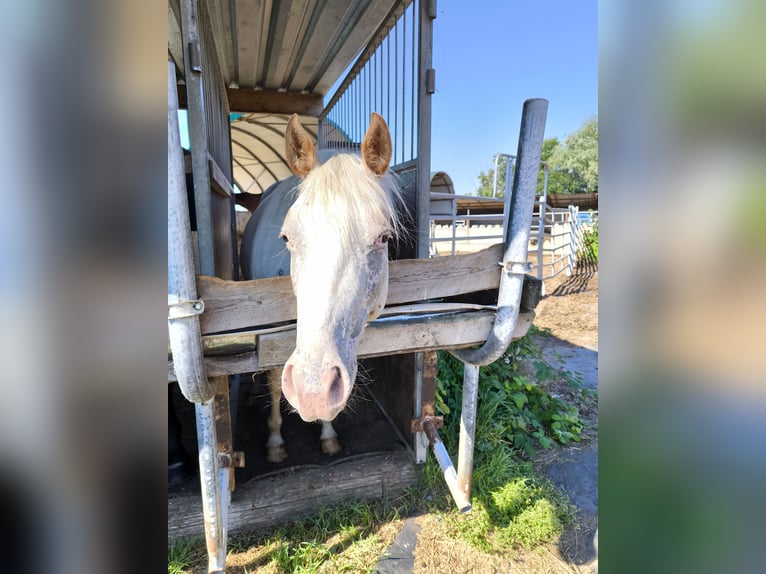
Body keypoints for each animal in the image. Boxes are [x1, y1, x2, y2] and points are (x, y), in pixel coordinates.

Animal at [243, 112, 402, 464]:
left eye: (383, 238)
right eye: (286, 237)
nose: (313, 389)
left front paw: (328, 434)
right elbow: (273, 378)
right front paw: (275, 442)